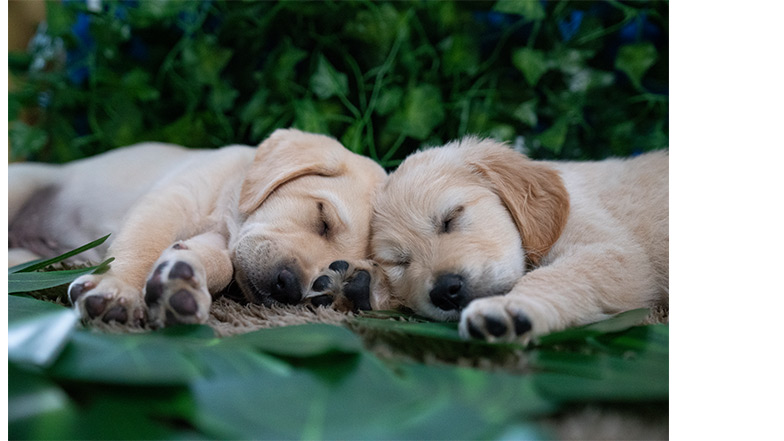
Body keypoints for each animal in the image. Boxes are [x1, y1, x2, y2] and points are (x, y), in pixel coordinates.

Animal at [6, 128, 386, 326]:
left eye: (334, 263)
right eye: (323, 218)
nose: (290, 288)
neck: (228, 213)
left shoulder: (221, 242)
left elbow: (219, 264)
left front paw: (181, 282)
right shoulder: (169, 203)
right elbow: (142, 247)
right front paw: (119, 289)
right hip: (20, 184)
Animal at [368, 137, 668, 340]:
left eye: (450, 218)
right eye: (399, 262)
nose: (445, 291)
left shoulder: (614, 252)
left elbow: (555, 275)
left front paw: (508, 309)